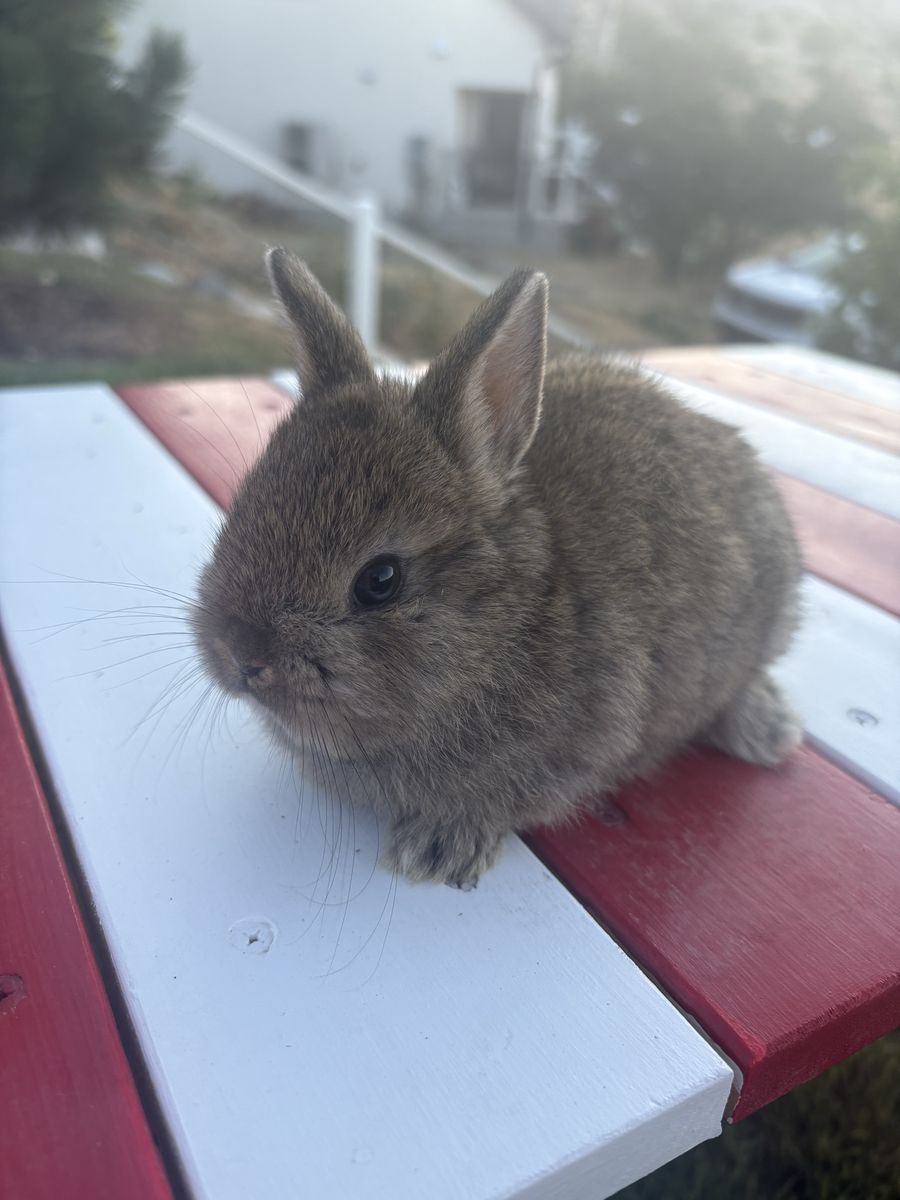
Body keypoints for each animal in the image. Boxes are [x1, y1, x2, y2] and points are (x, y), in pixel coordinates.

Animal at [193, 249, 802, 888]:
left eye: (380, 581)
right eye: (240, 509)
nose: (241, 658)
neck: (502, 630)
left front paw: (436, 850)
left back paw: (766, 731)